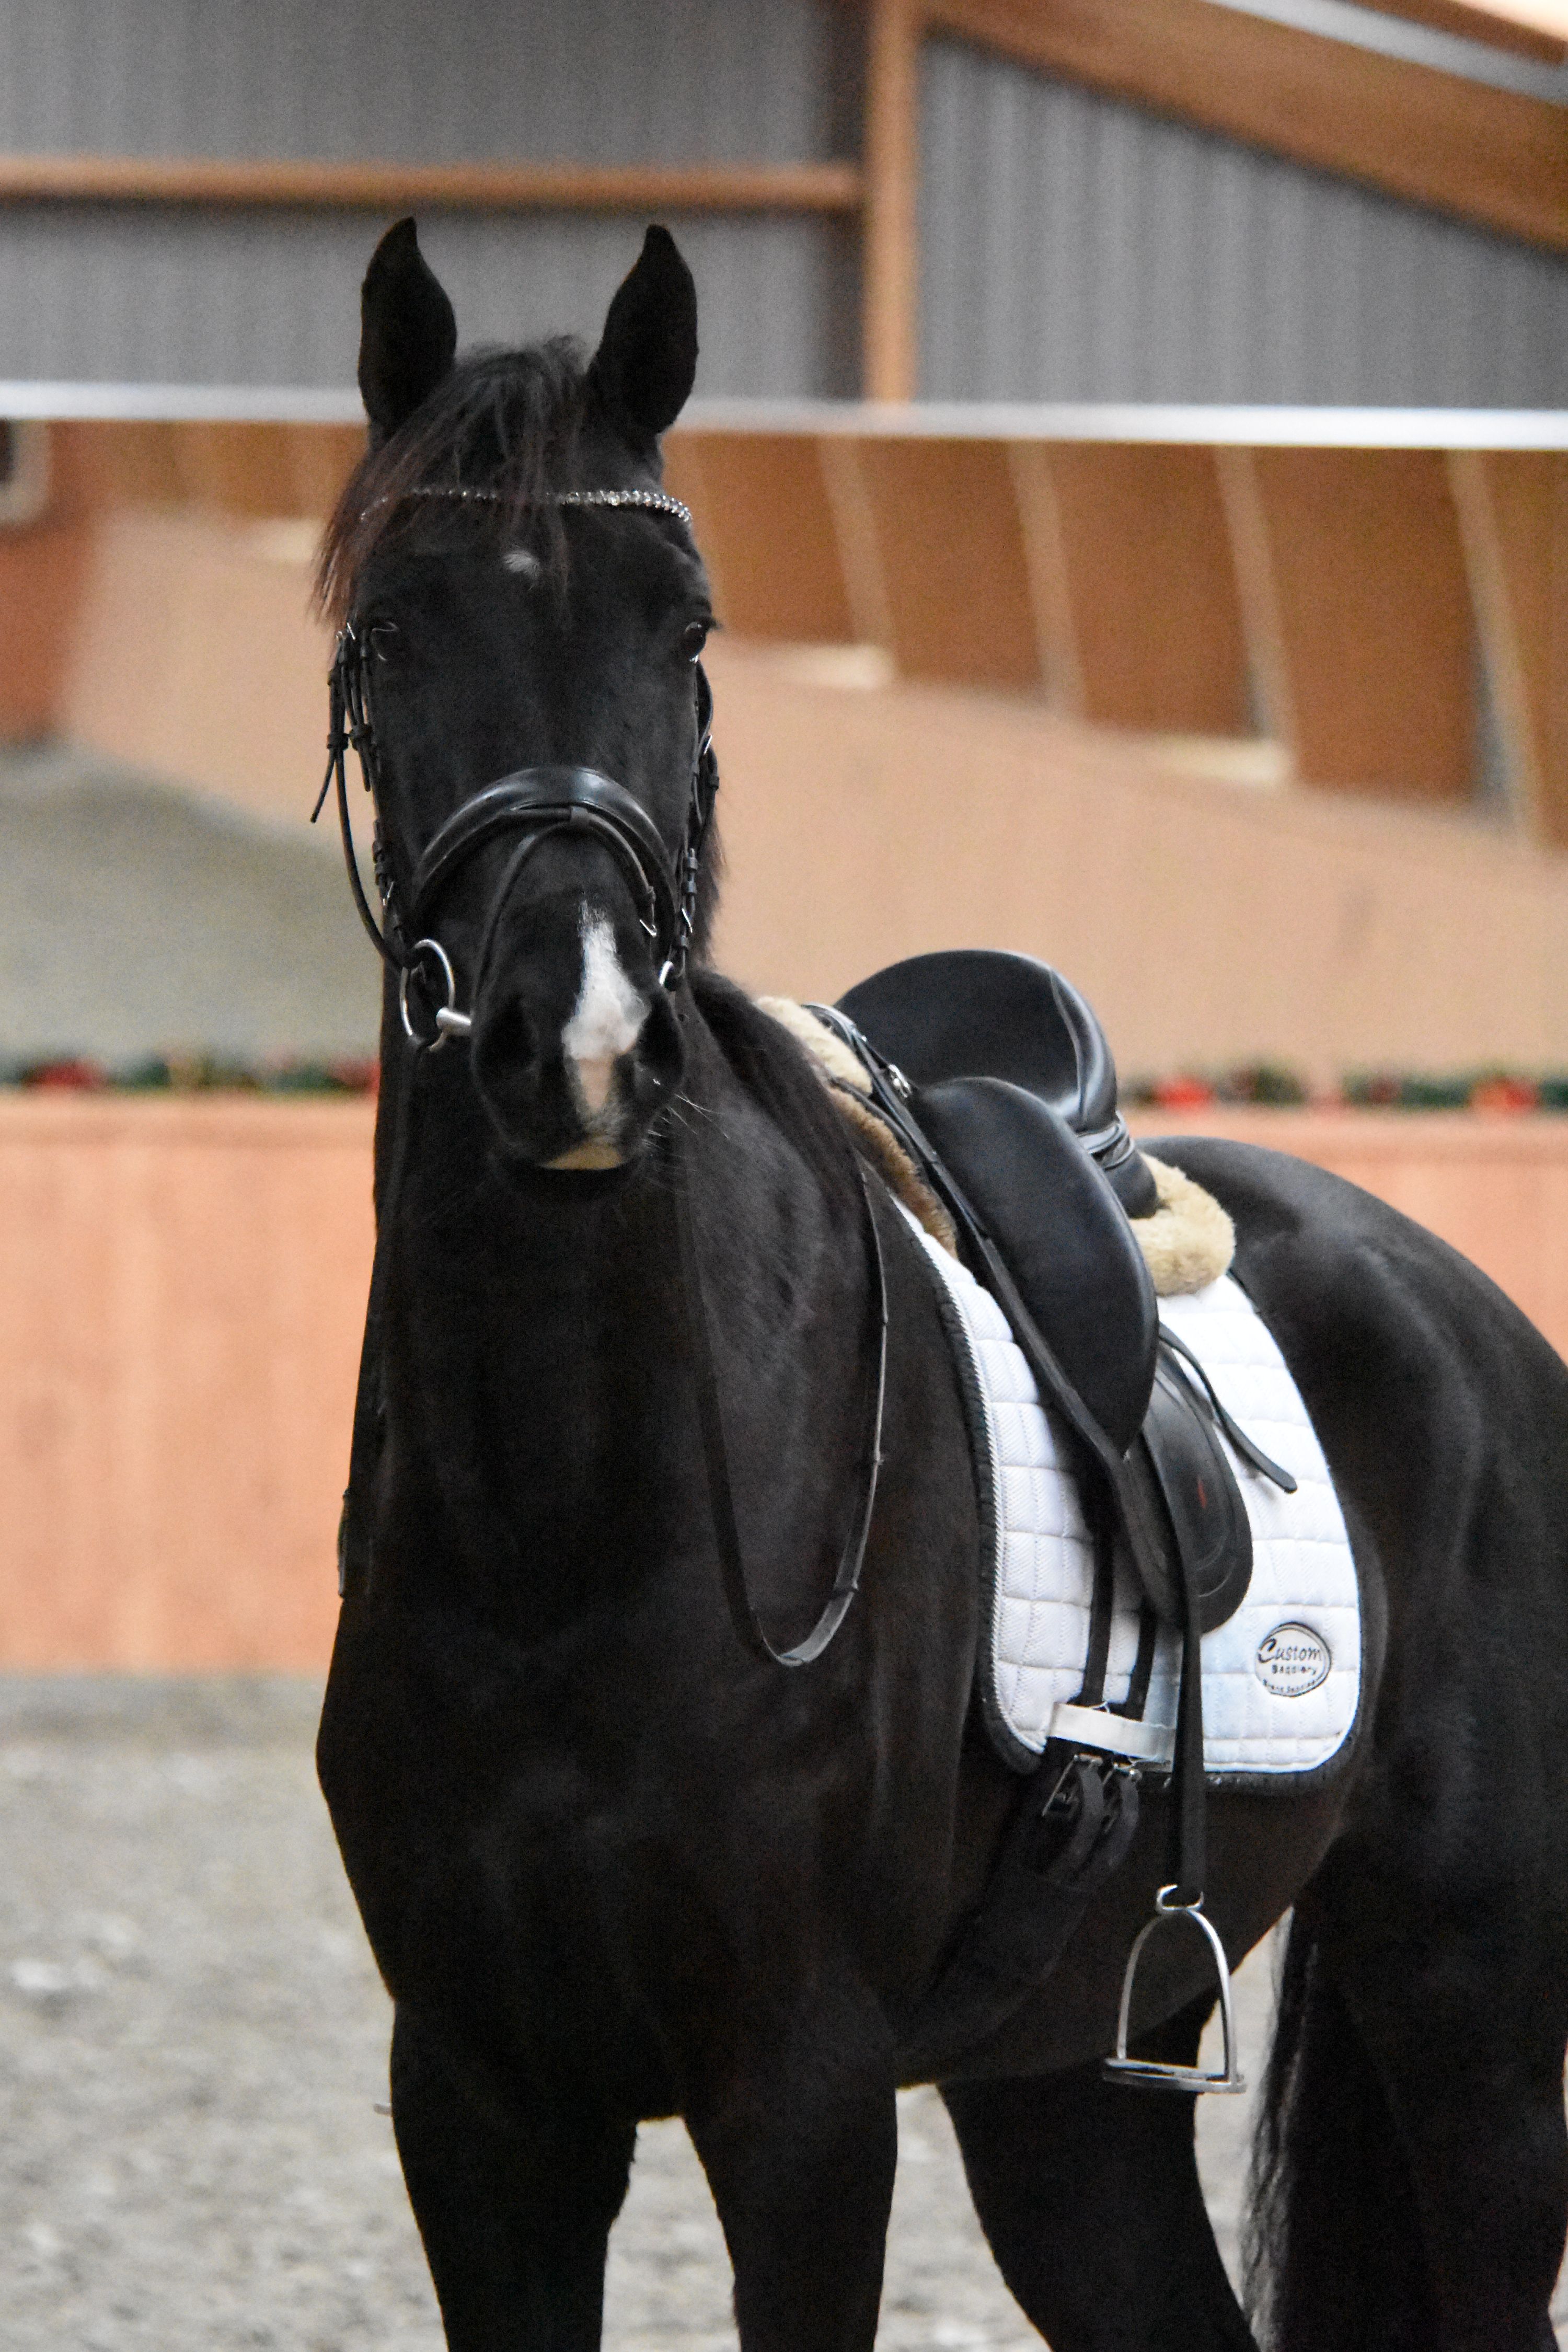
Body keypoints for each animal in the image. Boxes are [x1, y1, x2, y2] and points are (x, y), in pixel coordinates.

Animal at [314, 217, 1568, 2352]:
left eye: (686, 627)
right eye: (393, 629)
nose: (577, 1040)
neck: (565, 1521)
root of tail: (1463, 1312)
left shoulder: (799, 2098)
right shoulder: (479, 2096)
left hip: (1472, 2010)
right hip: (1068, 2085)